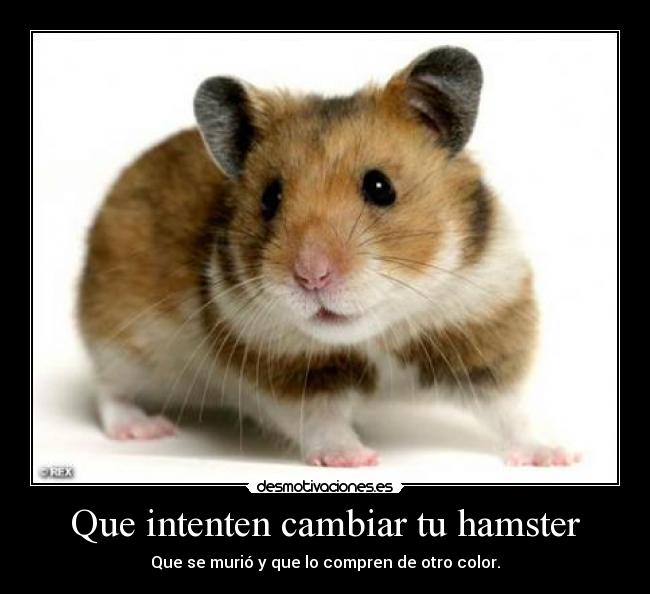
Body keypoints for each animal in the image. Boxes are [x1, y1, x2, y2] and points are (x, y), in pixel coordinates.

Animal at [78, 46, 579, 467]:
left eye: (380, 187)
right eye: (270, 198)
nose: (312, 277)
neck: (377, 333)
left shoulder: (483, 330)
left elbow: (513, 408)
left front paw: (559, 457)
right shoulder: (286, 371)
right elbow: (320, 420)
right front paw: (356, 461)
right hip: (119, 338)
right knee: (108, 391)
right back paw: (144, 429)